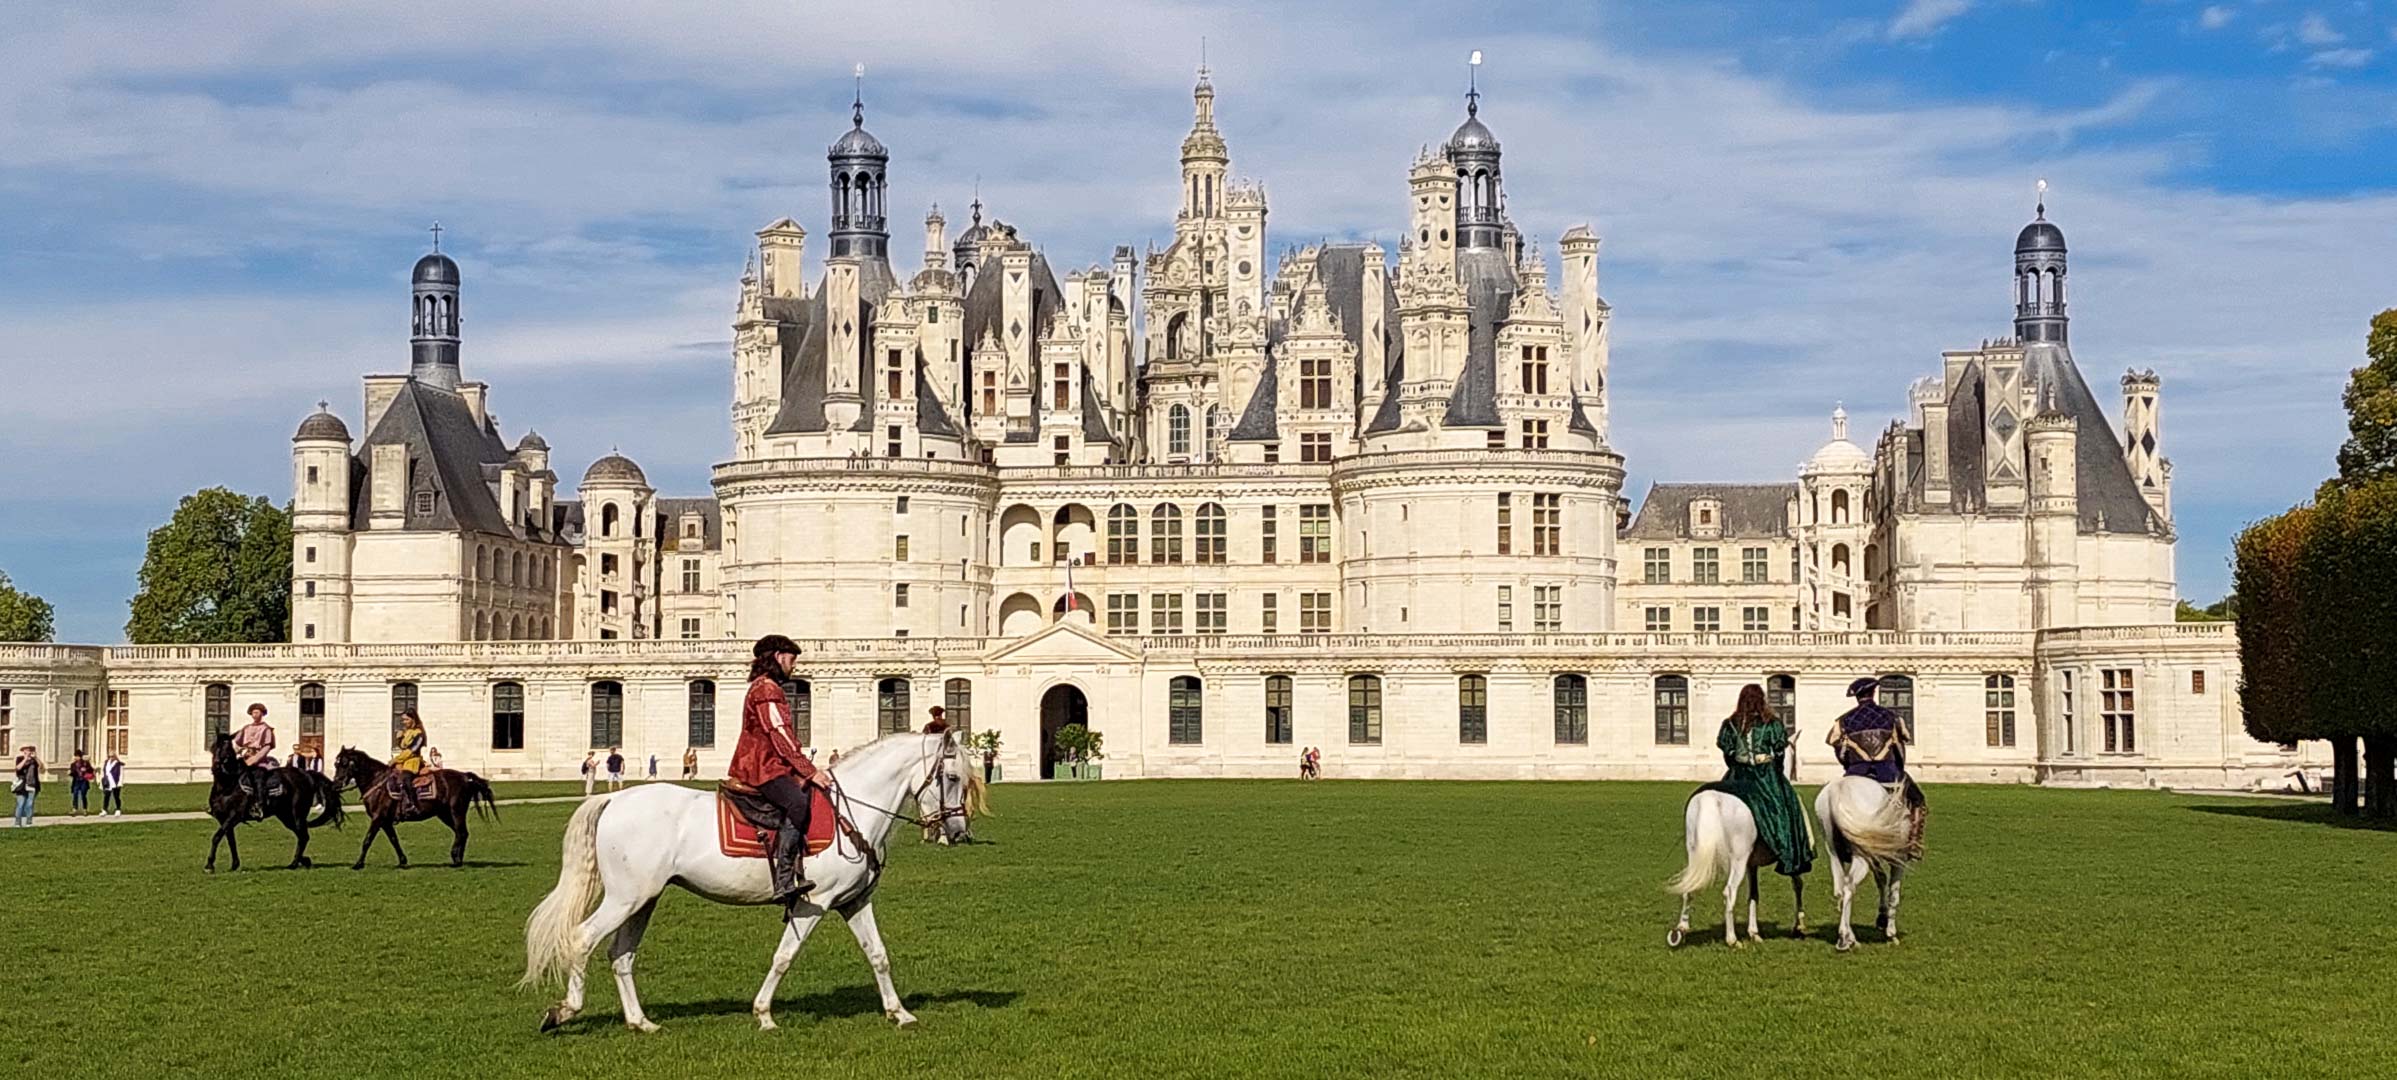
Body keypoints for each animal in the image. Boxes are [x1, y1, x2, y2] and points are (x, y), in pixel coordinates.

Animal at [203, 732, 345, 876]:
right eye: (214, 747)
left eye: (228, 750)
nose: (215, 767)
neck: (227, 786)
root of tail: (306, 774)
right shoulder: (224, 819)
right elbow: (231, 841)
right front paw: (234, 865)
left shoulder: (234, 817)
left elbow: (216, 837)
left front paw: (209, 865)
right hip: (286, 817)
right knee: (302, 836)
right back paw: (302, 861)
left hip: (297, 815)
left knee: (303, 836)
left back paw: (294, 864)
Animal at [333, 742, 496, 871]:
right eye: (336, 764)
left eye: (345, 763)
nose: (336, 784)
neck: (377, 782)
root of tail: (464, 776)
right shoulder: (385, 822)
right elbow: (394, 840)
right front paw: (402, 861)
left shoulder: (378, 818)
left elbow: (367, 840)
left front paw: (358, 864)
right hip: (445, 814)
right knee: (461, 833)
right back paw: (458, 859)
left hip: (456, 812)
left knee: (461, 832)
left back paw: (456, 859)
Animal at [520, 732, 977, 1034]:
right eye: (953, 777)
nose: (958, 832)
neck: (852, 813)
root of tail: (615, 797)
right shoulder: (812, 904)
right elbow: (784, 957)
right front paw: (764, 1014)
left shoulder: (854, 902)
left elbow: (878, 956)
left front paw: (899, 1013)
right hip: (624, 899)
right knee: (582, 939)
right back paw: (565, 1011)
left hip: (643, 900)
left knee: (621, 955)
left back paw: (640, 1021)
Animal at [1658, 790, 1802, 953]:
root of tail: (1710, 797)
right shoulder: (1792, 859)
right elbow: (1797, 884)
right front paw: (1798, 927)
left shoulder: (1752, 864)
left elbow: (1754, 895)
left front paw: (1754, 933)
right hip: (1739, 859)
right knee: (1729, 892)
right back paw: (1732, 940)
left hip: (1695, 855)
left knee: (1689, 890)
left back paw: (1680, 931)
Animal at [1812, 780, 1908, 953]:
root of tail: (1838, 789)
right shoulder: (1898, 860)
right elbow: (1894, 895)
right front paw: (1891, 934)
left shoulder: (1873, 855)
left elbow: (1881, 879)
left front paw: (1882, 918)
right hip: (1860, 857)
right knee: (1849, 887)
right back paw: (1845, 938)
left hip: (1833, 851)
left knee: (1840, 889)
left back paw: (1849, 938)